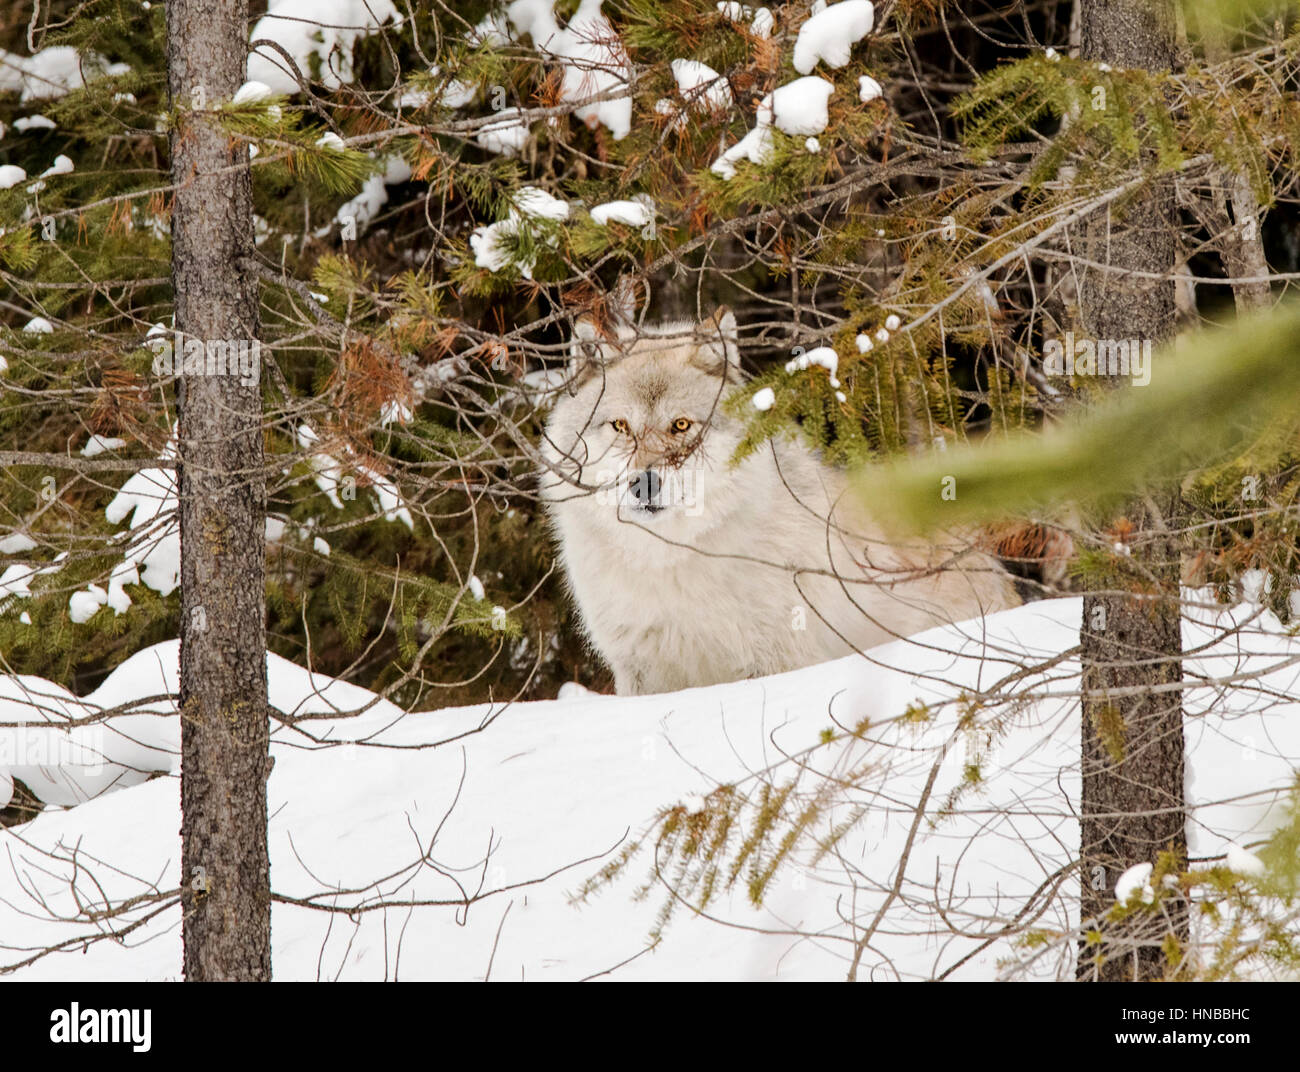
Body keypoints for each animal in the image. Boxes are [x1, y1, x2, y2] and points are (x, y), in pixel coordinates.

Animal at [539, 304, 1021, 695]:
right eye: (620, 425)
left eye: (681, 425)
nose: (644, 484)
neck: (670, 560)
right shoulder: (641, 674)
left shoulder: (773, 661)